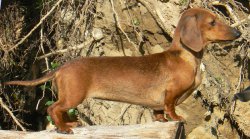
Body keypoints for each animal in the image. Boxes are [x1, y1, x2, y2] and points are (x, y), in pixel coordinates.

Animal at [3, 7, 241, 134]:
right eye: (212, 21)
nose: (238, 33)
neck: (186, 57)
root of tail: (63, 66)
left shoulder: (157, 103)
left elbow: (158, 112)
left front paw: (162, 121)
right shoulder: (171, 94)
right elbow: (171, 107)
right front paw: (176, 117)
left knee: (58, 110)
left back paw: (69, 123)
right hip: (73, 95)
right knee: (53, 109)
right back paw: (64, 128)